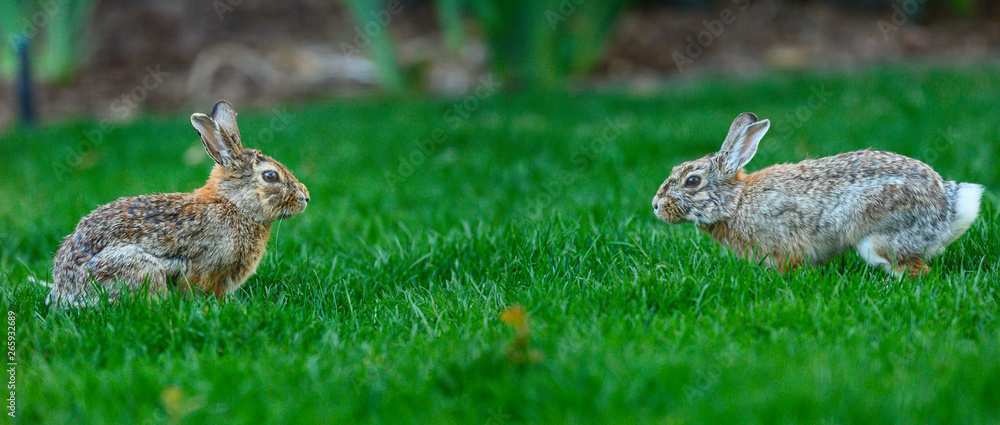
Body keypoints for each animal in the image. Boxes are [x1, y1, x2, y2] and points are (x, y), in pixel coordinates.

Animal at [47, 100, 310, 308]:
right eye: (270, 176)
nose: (305, 198)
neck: (234, 204)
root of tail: (64, 293)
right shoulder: (203, 267)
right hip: (138, 268)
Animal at [651, 112, 983, 277]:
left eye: (692, 181)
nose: (655, 205)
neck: (735, 202)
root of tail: (949, 209)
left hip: (877, 239)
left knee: (917, 270)